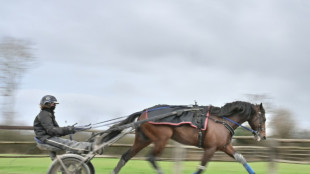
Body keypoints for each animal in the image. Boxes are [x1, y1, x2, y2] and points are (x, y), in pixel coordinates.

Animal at [100, 101, 266, 173]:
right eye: (263, 118)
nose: (263, 137)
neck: (221, 120)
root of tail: (144, 112)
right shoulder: (211, 148)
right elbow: (201, 167)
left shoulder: (224, 146)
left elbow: (241, 159)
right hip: (162, 139)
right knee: (151, 158)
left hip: (143, 139)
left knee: (126, 156)